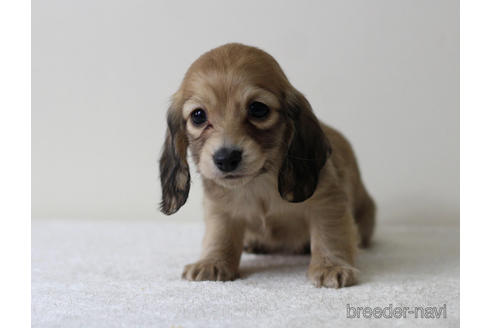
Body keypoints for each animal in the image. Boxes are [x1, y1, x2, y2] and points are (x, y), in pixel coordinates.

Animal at [160, 43, 374, 288]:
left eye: (258, 109)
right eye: (198, 115)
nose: (226, 158)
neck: (260, 182)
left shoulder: (328, 202)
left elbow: (330, 235)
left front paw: (331, 266)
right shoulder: (219, 208)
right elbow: (219, 234)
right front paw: (212, 262)